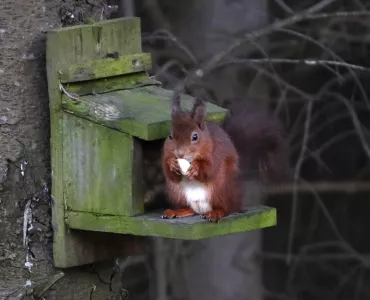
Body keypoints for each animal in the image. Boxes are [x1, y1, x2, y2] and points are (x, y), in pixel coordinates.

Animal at [160, 91, 290, 223]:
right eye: (170, 136)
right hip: (176, 192)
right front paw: (171, 163)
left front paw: (196, 167)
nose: (180, 154)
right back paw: (178, 211)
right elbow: (170, 173)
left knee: (227, 209)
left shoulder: (216, 153)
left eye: (195, 136)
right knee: (191, 209)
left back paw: (215, 213)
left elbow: (209, 170)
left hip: (222, 187)